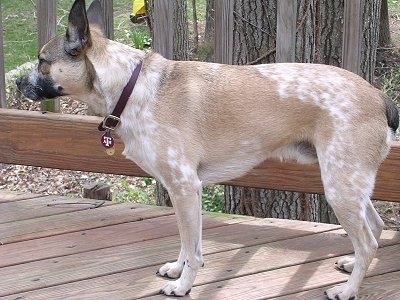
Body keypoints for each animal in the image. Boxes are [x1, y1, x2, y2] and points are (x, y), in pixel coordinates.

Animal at [15, 0, 396, 300]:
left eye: (42, 61)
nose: (16, 82)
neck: (131, 86)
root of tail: (379, 97)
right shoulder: (182, 192)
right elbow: (187, 242)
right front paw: (176, 269)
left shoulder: (185, 188)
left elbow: (195, 249)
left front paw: (184, 286)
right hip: (349, 185)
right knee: (375, 228)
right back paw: (351, 265)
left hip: (339, 186)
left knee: (368, 240)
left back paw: (348, 289)